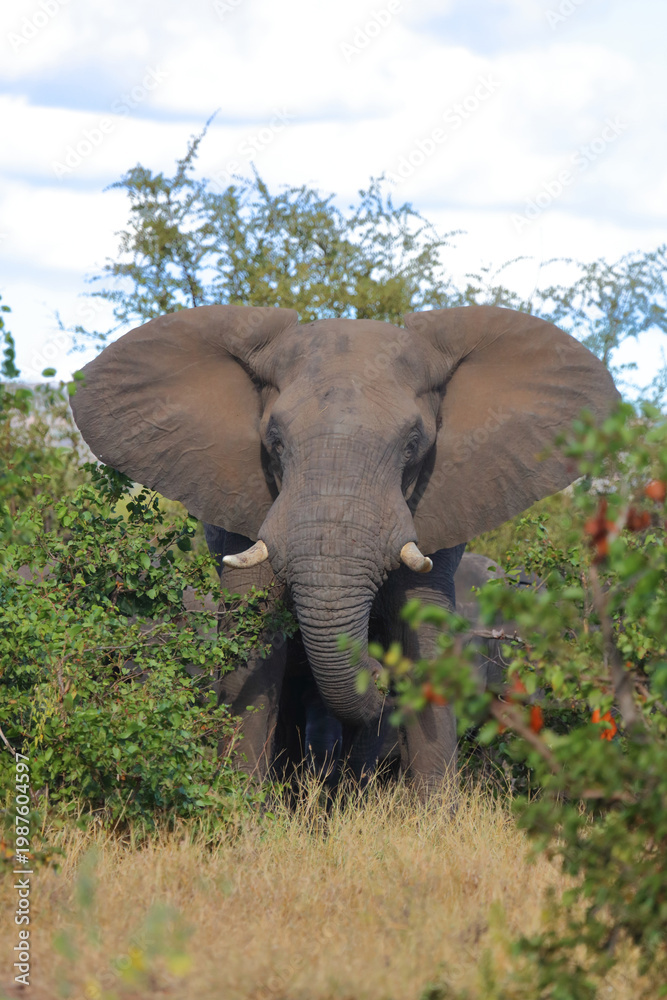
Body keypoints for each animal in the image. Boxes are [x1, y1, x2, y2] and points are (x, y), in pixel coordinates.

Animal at [70, 303, 618, 795]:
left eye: (413, 443)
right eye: (274, 440)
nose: (378, 671)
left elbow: (424, 628)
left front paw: (433, 821)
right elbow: (252, 630)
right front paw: (237, 812)